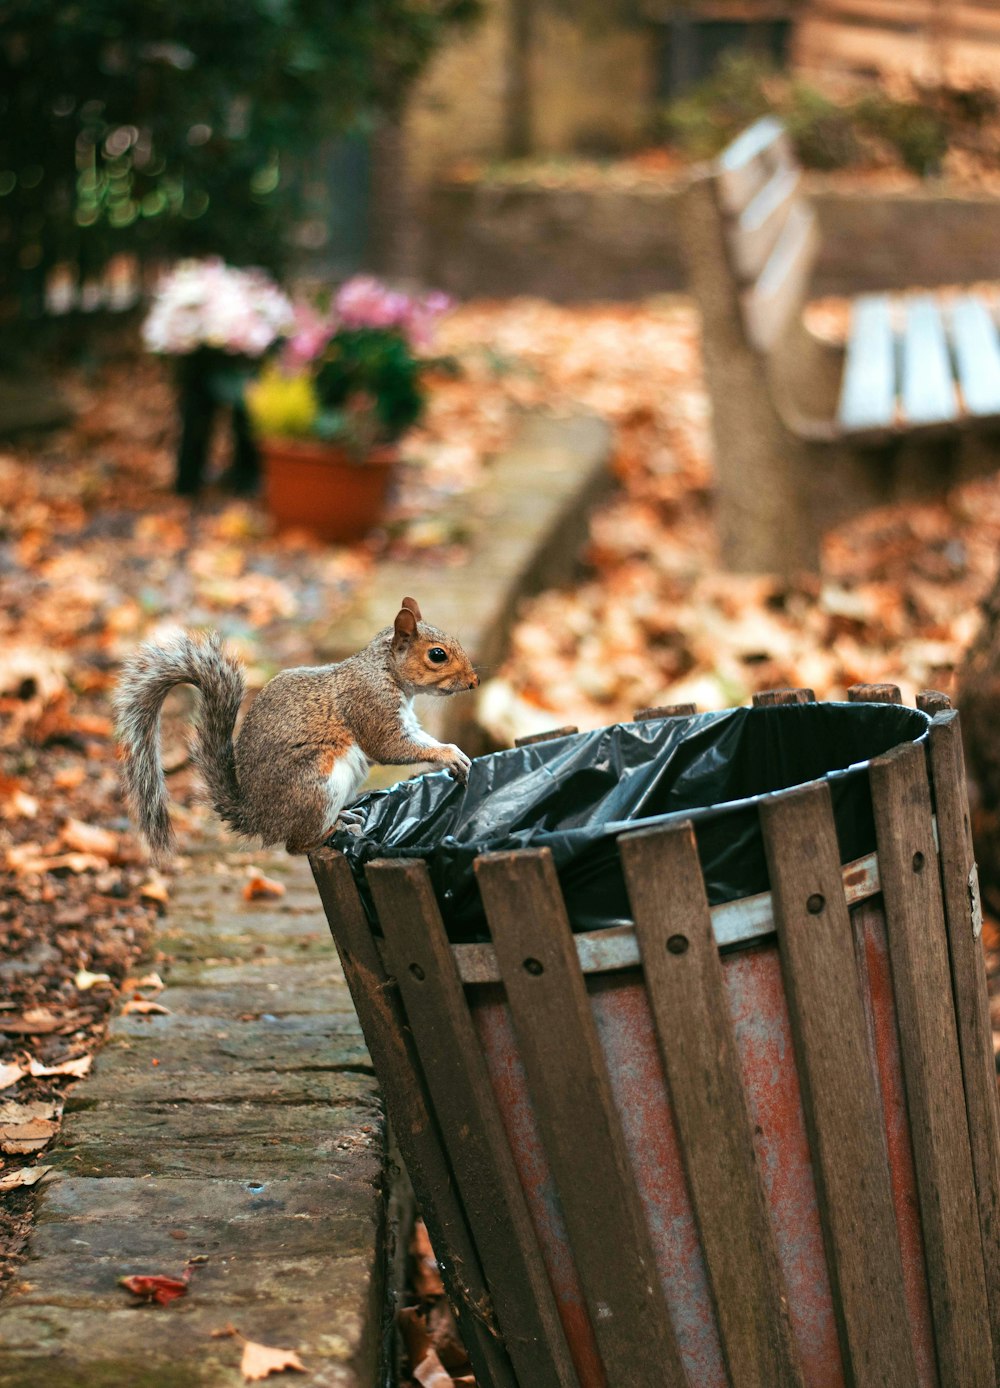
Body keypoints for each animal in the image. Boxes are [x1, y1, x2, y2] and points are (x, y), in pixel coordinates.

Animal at [113, 594, 480, 860]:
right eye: (437, 655)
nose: (474, 681)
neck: (385, 671)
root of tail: (260, 818)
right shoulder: (370, 707)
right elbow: (391, 747)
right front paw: (449, 755)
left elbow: (418, 738)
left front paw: (456, 756)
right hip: (317, 785)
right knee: (295, 845)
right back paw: (336, 830)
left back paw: (345, 819)